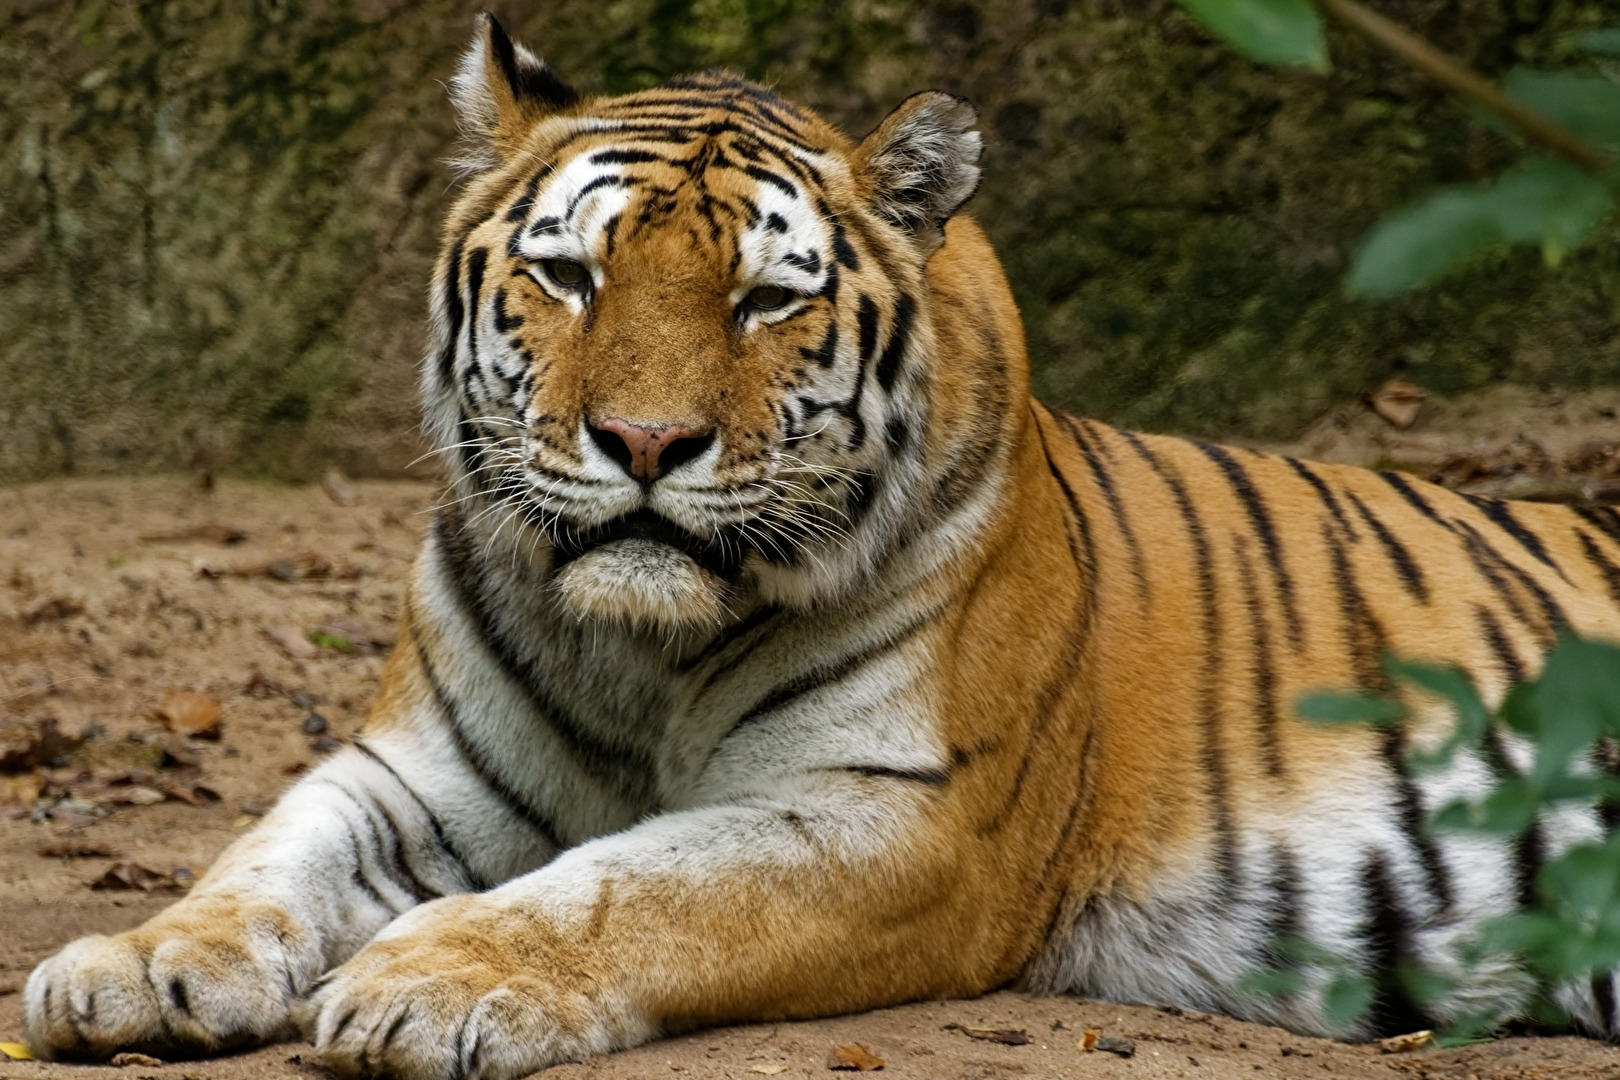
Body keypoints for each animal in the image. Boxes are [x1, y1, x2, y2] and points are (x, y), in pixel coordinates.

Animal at [24, 12, 1620, 1079]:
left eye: (763, 300)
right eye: (570, 273)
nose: (647, 442)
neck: (638, 654)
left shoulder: (898, 821)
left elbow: (634, 888)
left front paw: (431, 979)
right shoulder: (416, 774)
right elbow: (265, 852)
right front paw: (138, 964)